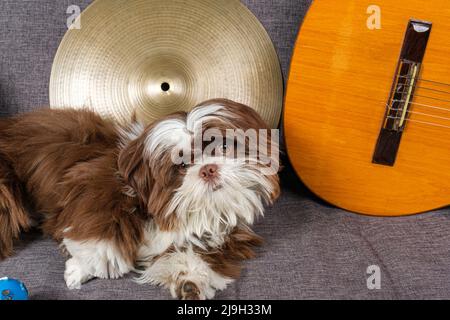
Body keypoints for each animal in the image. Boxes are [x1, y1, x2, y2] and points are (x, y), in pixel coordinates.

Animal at [0, 99, 280, 300]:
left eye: (223, 147)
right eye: (181, 165)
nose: (208, 169)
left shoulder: (222, 239)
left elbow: (198, 256)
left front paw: (189, 282)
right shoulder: (93, 187)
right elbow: (100, 241)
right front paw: (79, 270)